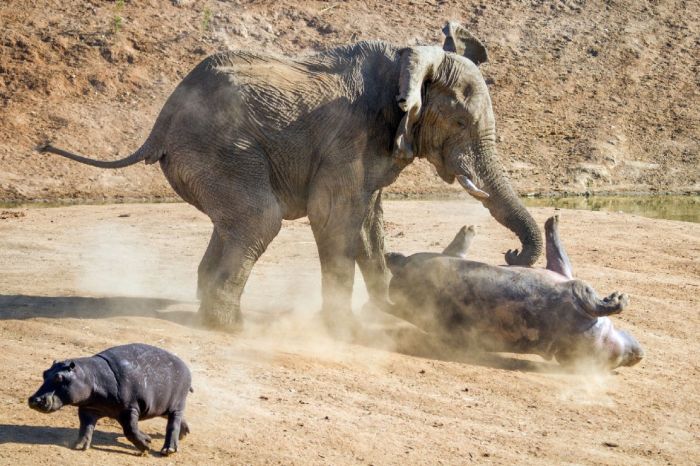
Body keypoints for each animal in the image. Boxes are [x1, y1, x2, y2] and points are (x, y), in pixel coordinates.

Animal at [28, 342, 191, 456]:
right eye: (44, 373)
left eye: (59, 377)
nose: (34, 400)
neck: (90, 376)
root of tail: (185, 366)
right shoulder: (88, 409)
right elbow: (85, 428)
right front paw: (78, 446)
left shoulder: (129, 409)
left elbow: (130, 430)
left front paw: (146, 445)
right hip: (161, 406)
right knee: (175, 419)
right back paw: (184, 434)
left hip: (176, 404)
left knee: (173, 423)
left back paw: (168, 450)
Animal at [39, 21, 540, 332]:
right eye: (460, 122)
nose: (512, 253)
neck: (407, 62)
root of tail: (159, 124)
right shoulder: (349, 135)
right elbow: (333, 217)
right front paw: (345, 330)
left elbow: (368, 223)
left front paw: (387, 311)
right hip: (218, 150)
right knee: (260, 219)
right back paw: (233, 328)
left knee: (236, 223)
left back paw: (208, 311)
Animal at [388, 217, 644, 370]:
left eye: (616, 361)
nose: (636, 356)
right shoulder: (572, 284)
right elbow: (559, 254)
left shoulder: (575, 289)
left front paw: (620, 298)